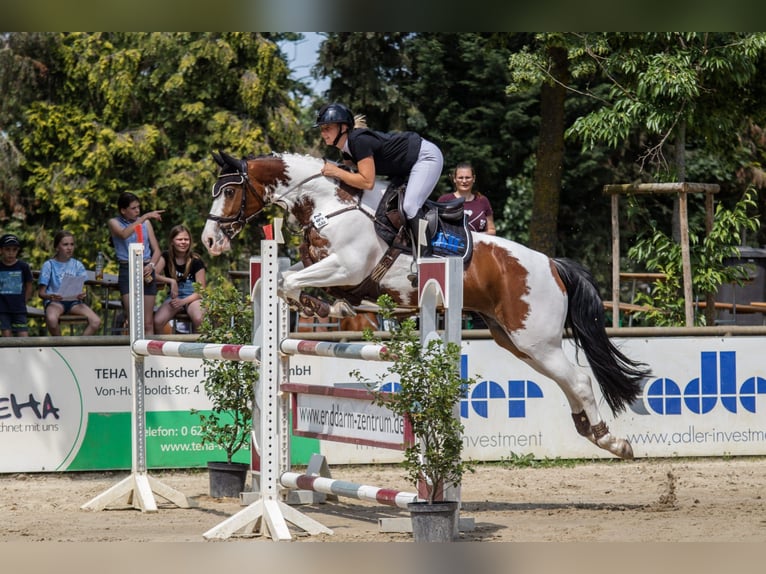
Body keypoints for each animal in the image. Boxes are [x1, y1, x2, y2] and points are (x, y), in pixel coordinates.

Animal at [201, 151, 652, 462]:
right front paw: (329, 308)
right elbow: (282, 281)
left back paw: (611, 439)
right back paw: (589, 430)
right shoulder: (327, 268)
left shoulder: (346, 266)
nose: (208, 241)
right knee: (565, 380)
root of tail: (552, 265)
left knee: (578, 379)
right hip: (517, 341)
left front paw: (325, 308)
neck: (327, 205)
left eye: (230, 191)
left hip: (536, 339)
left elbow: (290, 282)